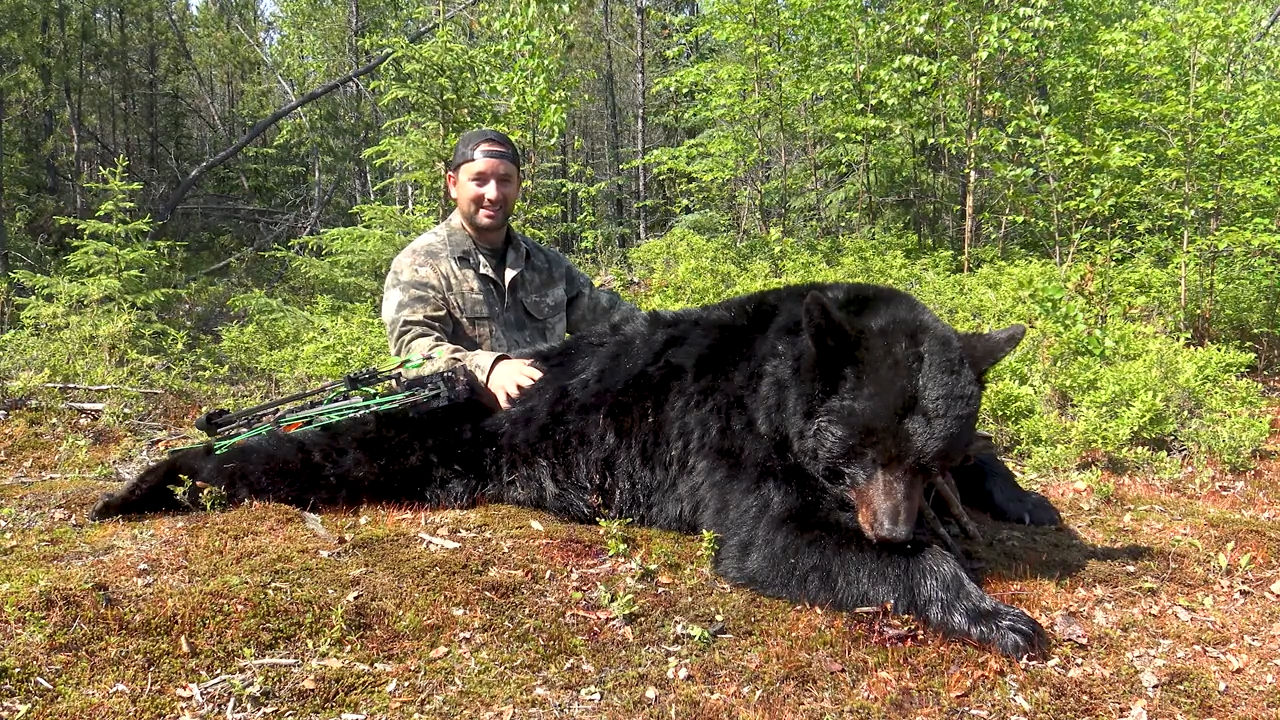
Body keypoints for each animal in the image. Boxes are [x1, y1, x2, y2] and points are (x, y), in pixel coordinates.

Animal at [91, 282, 1053, 658]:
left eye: (925, 455)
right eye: (857, 452)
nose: (889, 529)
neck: (783, 380)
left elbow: (990, 456)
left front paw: (1014, 498)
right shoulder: (743, 449)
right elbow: (770, 542)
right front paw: (993, 612)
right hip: (402, 433)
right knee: (272, 456)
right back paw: (138, 485)